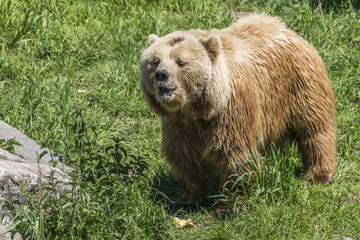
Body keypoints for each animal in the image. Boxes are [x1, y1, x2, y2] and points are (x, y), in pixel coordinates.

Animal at [139, 13, 336, 212]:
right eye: (155, 61)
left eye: (181, 62)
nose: (162, 74)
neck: (199, 108)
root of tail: (287, 29)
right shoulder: (180, 123)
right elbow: (185, 158)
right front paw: (185, 201)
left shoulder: (230, 111)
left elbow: (234, 155)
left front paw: (229, 205)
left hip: (300, 86)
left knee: (314, 129)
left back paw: (319, 175)